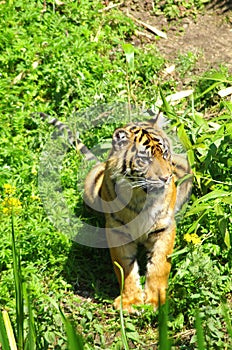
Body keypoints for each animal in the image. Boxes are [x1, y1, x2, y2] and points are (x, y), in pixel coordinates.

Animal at [33, 110, 192, 312]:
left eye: (164, 154)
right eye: (144, 160)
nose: (166, 178)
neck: (141, 197)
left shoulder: (164, 227)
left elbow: (159, 264)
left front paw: (156, 300)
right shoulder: (117, 230)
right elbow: (125, 267)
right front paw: (131, 301)